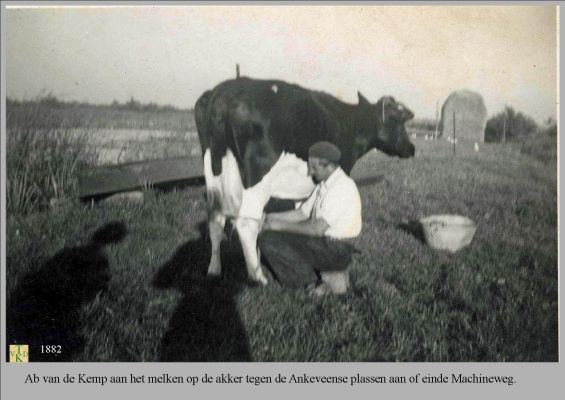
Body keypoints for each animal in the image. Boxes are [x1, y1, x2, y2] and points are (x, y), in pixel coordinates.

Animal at [194, 77, 414, 284]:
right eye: (399, 121)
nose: (411, 148)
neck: (349, 123)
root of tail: (222, 92)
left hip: (212, 172)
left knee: (215, 218)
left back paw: (214, 270)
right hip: (258, 175)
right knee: (246, 223)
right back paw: (258, 277)